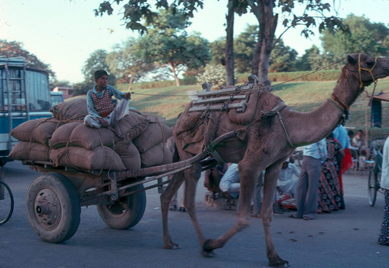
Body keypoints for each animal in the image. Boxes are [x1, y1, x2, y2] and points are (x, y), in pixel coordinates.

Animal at [158, 54, 388, 266]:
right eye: (368, 61)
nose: (387, 63)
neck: (290, 124)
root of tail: (180, 117)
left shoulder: (274, 165)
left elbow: (267, 213)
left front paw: (275, 258)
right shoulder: (250, 166)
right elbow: (243, 219)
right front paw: (212, 244)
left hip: (188, 159)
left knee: (167, 193)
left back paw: (169, 242)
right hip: (192, 157)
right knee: (189, 201)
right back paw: (203, 245)